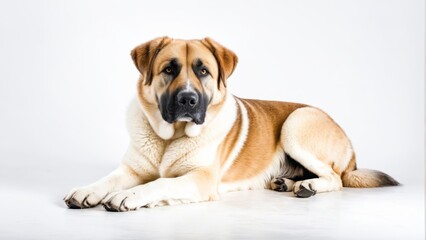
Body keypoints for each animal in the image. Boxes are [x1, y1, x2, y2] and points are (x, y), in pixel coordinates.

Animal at [64, 36, 400, 211]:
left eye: (203, 71)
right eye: (169, 69)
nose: (188, 100)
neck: (168, 139)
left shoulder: (200, 179)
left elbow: (160, 183)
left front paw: (129, 196)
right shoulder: (132, 169)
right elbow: (108, 179)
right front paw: (87, 190)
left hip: (296, 122)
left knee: (336, 178)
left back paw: (307, 186)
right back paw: (286, 181)